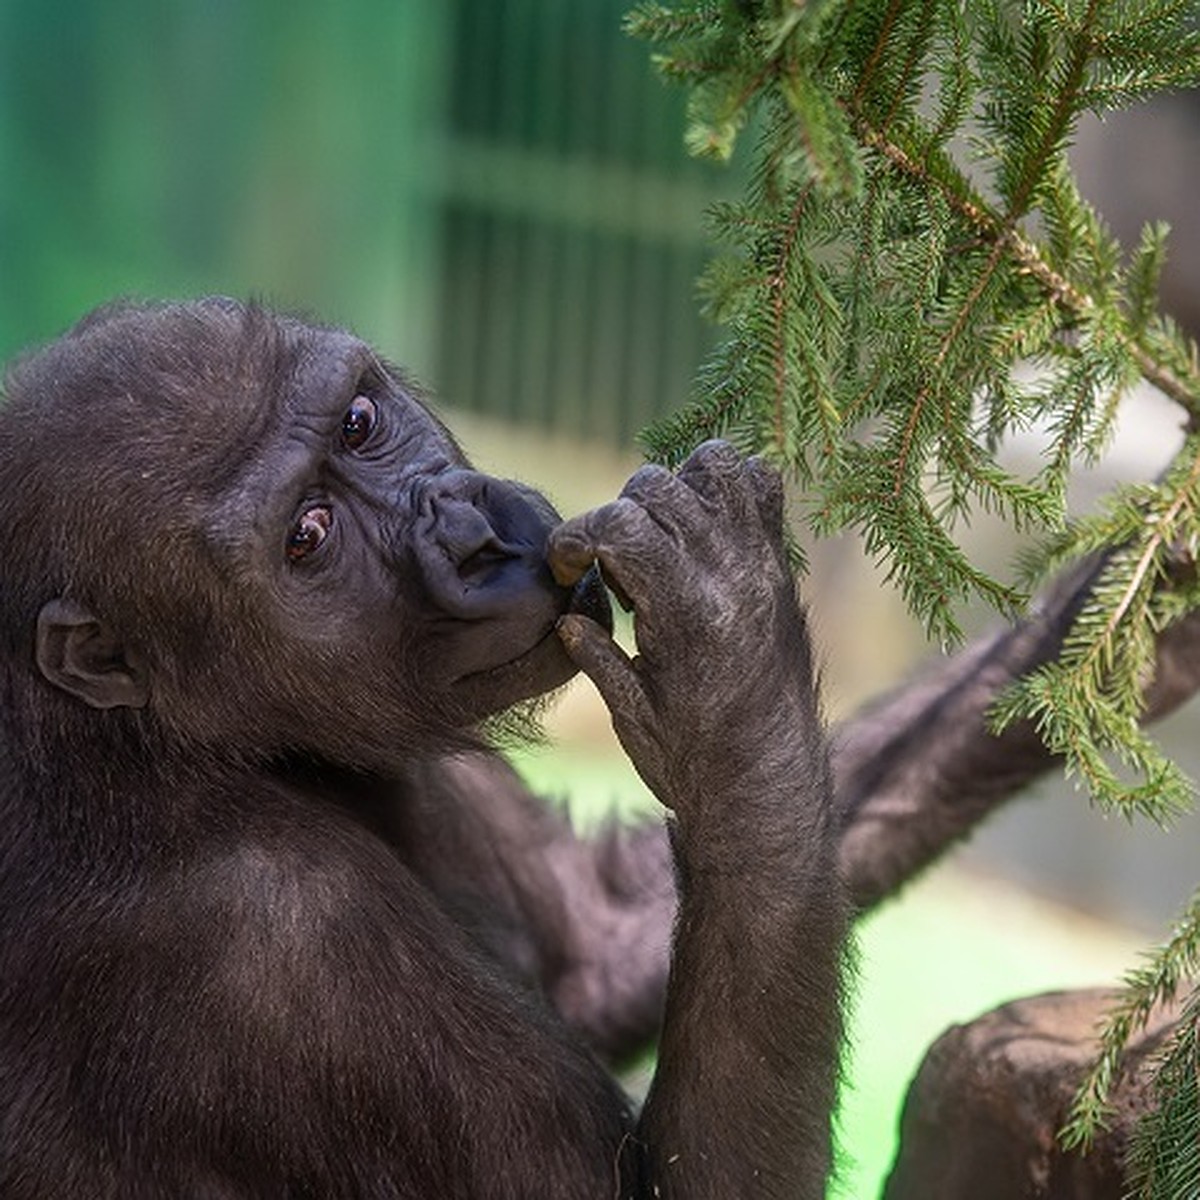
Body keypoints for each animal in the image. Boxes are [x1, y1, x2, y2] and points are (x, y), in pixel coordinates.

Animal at [0, 295, 849, 1195]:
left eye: (359, 423)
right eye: (306, 536)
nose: (472, 534)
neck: (144, 740)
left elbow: (600, 943)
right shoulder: (286, 937)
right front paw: (732, 672)